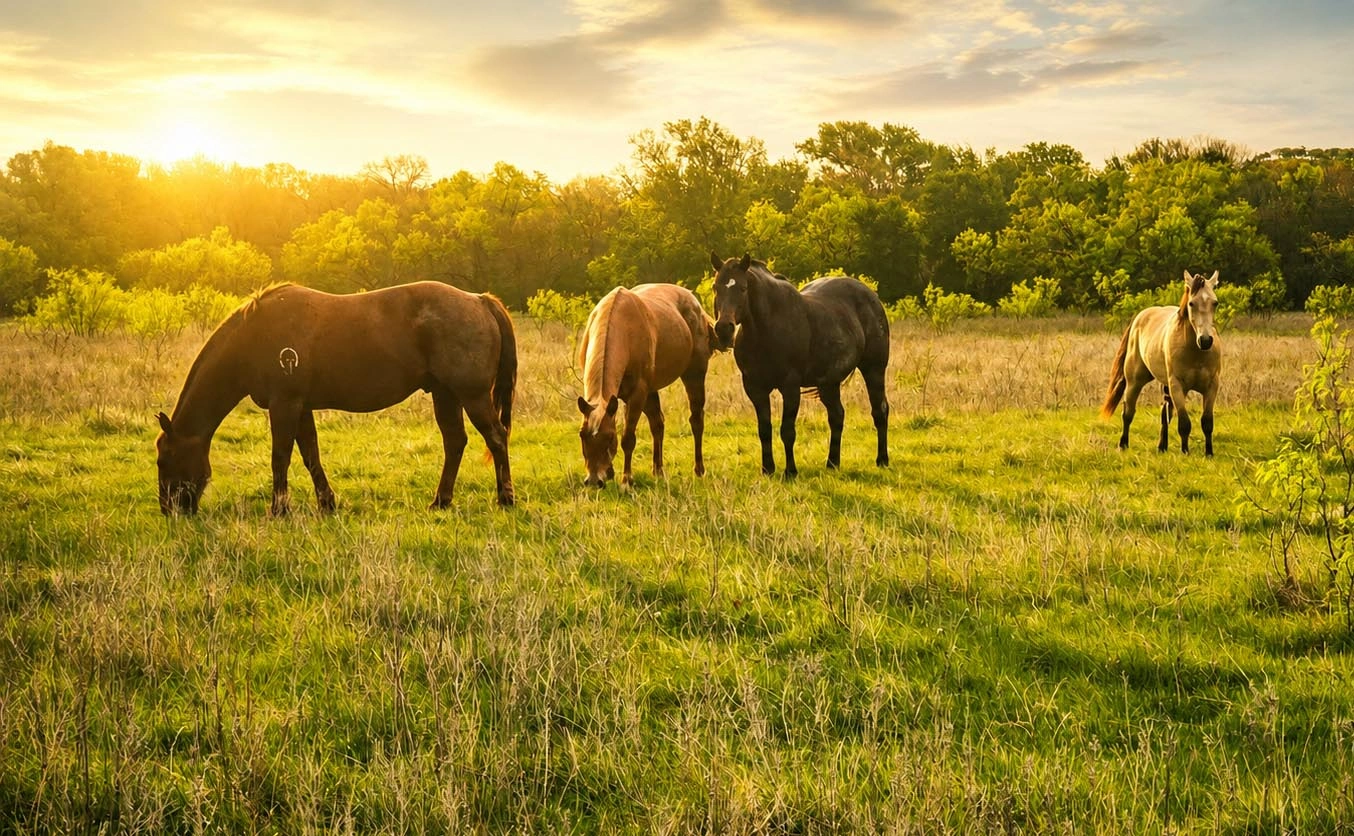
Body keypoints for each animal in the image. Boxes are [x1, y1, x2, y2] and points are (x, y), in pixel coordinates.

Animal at [155, 281, 516, 515]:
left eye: (163, 458)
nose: (169, 509)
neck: (254, 336)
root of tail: (480, 301)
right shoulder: (300, 407)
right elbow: (310, 455)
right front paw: (326, 502)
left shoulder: (284, 404)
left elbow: (280, 457)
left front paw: (279, 509)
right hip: (445, 394)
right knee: (455, 442)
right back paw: (441, 501)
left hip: (472, 395)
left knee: (497, 438)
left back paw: (505, 498)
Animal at [576, 283, 717, 488]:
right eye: (582, 435)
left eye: (609, 437)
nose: (594, 481)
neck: (622, 327)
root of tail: (693, 302)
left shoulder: (637, 395)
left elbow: (628, 438)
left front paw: (626, 481)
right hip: (651, 391)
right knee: (657, 424)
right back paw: (658, 470)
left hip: (693, 376)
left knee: (696, 420)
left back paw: (699, 470)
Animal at [710, 252, 890, 476]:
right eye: (716, 287)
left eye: (743, 288)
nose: (724, 329)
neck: (766, 329)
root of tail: (872, 297)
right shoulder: (755, 388)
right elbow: (764, 430)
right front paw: (767, 469)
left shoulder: (790, 387)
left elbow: (787, 431)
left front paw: (790, 472)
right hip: (828, 383)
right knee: (837, 416)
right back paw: (832, 463)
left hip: (874, 369)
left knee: (880, 410)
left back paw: (882, 459)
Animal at [1101, 270, 1222, 456]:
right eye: (1191, 303)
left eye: (1215, 303)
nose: (1206, 340)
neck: (1195, 352)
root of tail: (1139, 317)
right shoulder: (1177, 386)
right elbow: (1184, 423)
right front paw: (1185, 452)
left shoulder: (1211, 386)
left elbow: (1207, 422)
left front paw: (1209, 453)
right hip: (1135, 381)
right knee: (1128, 412)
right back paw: (1123, 444)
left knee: (1165, 414)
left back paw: (1162, 446)